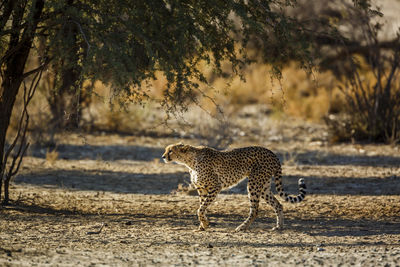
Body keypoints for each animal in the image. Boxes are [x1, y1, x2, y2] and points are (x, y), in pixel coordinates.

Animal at [162, 144, 306, 232]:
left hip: (254, 184)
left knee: (255, 210)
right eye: (166, 150)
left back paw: (242, 227)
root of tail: (272, 152)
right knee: (278, 204)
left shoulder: (215, 186)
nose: (163, 156)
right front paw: (203, 225)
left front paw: (205, 224)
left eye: (171, 150)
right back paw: (279, 227)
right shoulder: (202, 189)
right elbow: (202, 208)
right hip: (264, 186)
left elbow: (200, 209)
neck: (189, 161)